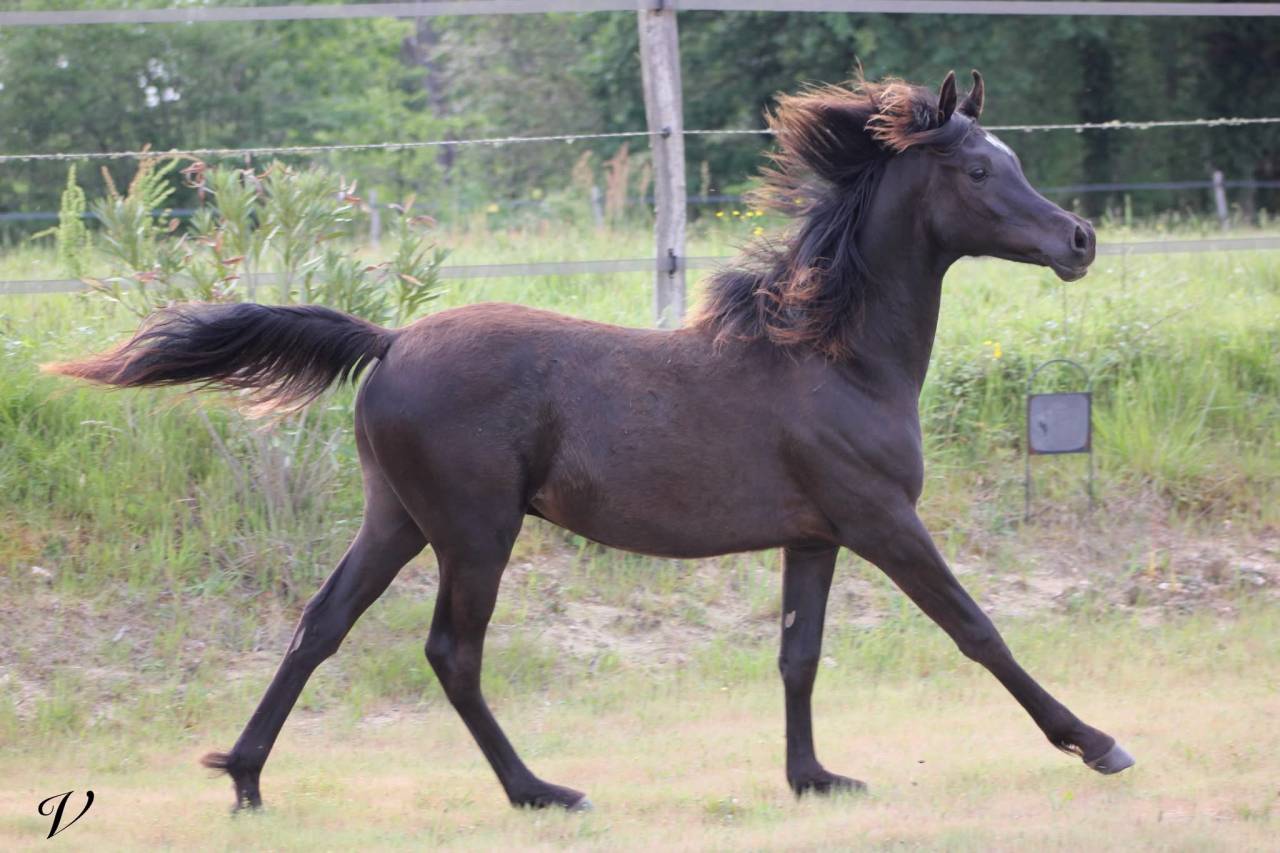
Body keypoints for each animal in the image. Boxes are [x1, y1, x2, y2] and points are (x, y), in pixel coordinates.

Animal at [47, 70, 1133, 813]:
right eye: (977, 167)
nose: (1078, 241)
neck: (835, 355)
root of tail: (389, 340)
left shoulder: (814, 533)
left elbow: (798, 654)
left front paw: (812, 775)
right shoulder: (879, 518)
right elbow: (976, 627)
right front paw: (1096, 741)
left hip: (395, 519)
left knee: (320, 626)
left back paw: (244, 777)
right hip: (474, 530)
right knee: (451, 653)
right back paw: (541, 790)